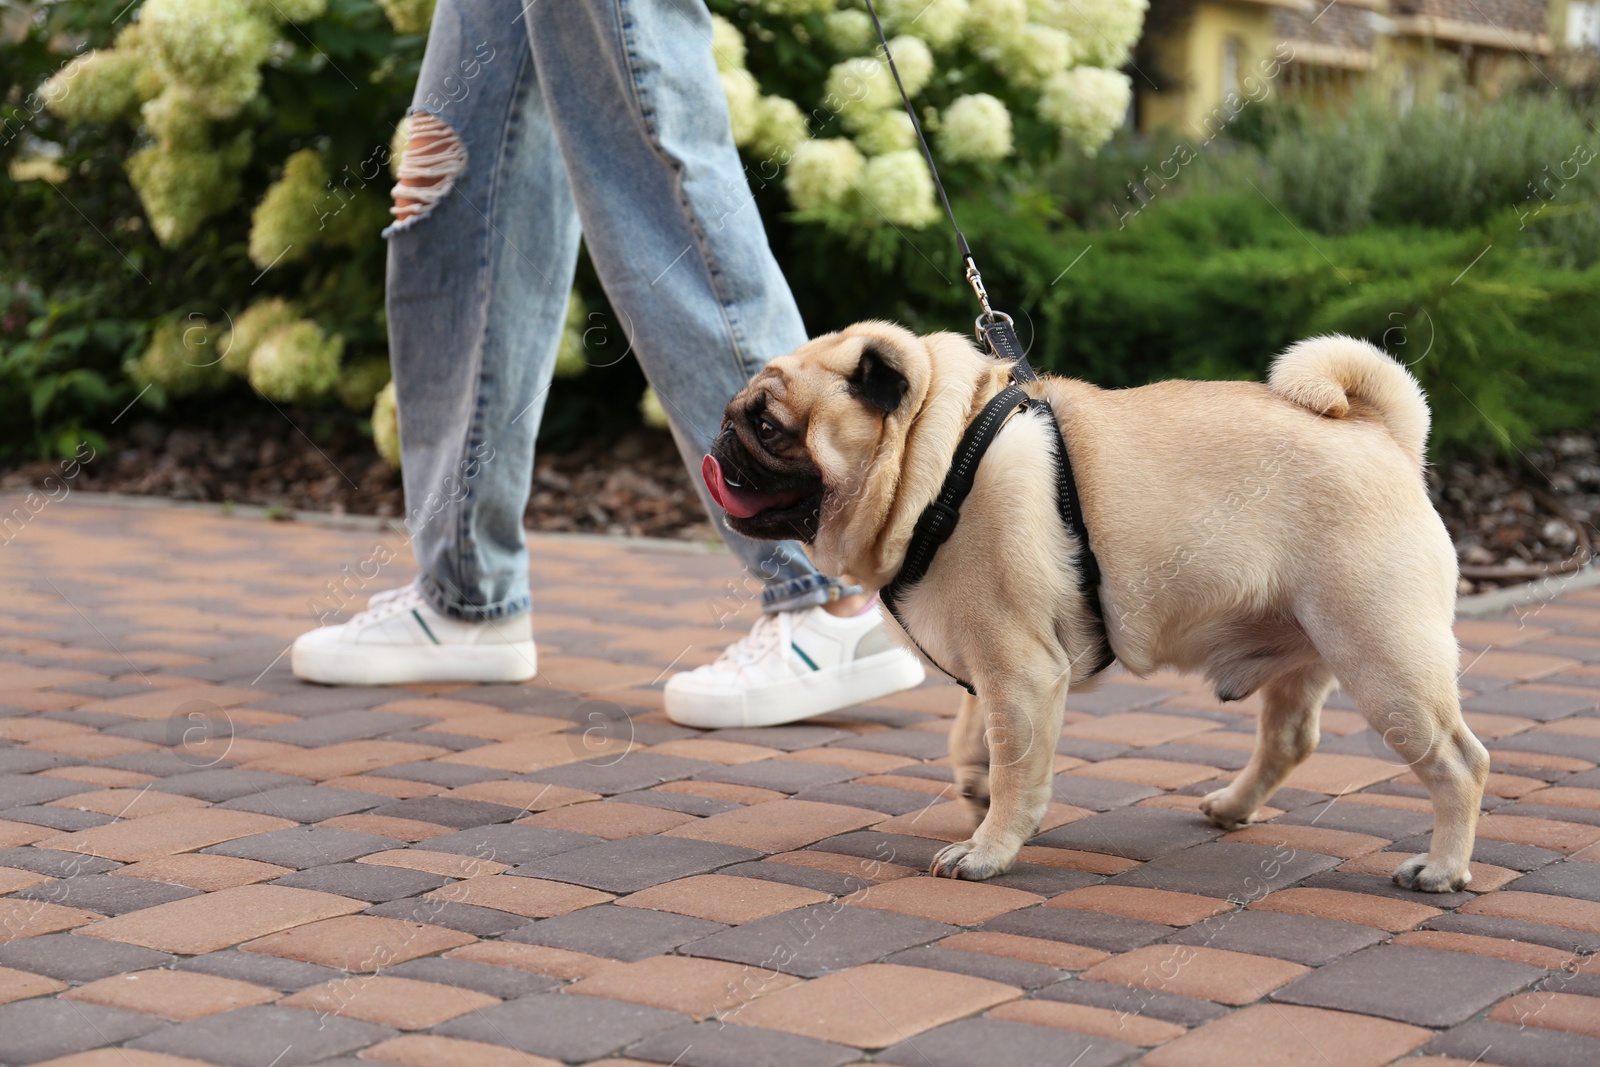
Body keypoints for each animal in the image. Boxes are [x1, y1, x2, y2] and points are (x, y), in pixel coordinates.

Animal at [707, 321, 1491, 889]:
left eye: (771, 427)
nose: (721, 440)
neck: (938, 460)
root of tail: (1386, 435)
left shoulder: (1019, 669)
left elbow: (1017, 767)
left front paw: (989, 848)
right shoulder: (994, 667)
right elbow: (974, 737)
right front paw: (975, 783)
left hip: (1382, 655)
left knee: (1460, 761)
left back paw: (1442, 868)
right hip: (1311, 648)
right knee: (1290, 739)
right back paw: (1233, 807)